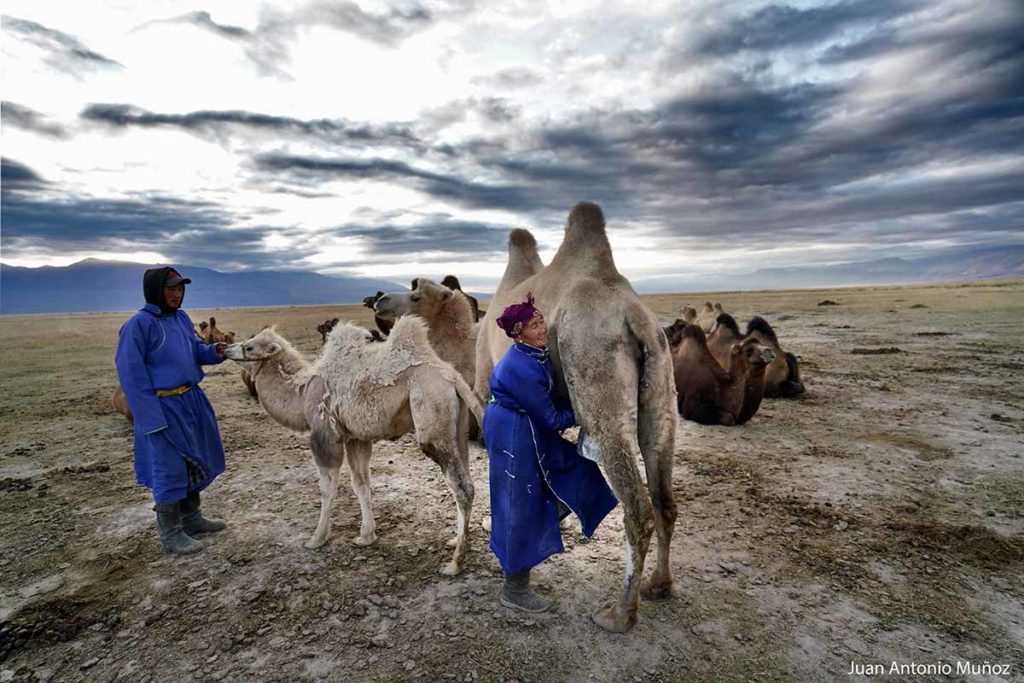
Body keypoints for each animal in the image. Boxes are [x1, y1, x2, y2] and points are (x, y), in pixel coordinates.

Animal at [224, 317, 479, 573]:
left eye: (249, 347)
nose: (224, 348)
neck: (302, 392)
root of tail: (452, 377)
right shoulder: (356, 438)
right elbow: (361, 484)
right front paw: (366, 536)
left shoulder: (325, 436)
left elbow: (327, 488)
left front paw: (317, 539)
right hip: (457, 427)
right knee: (465, 476)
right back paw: (456, 540)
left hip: (431, 416)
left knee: (461, 488)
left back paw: (455, 563)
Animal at [477, 202, 679, 634]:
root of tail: (635, 316)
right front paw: (559, 517)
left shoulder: (484, 378)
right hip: (661, 383)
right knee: (663, 498)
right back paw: (659, 586)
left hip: (596, 368)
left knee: (636, 506)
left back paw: (619, 614)